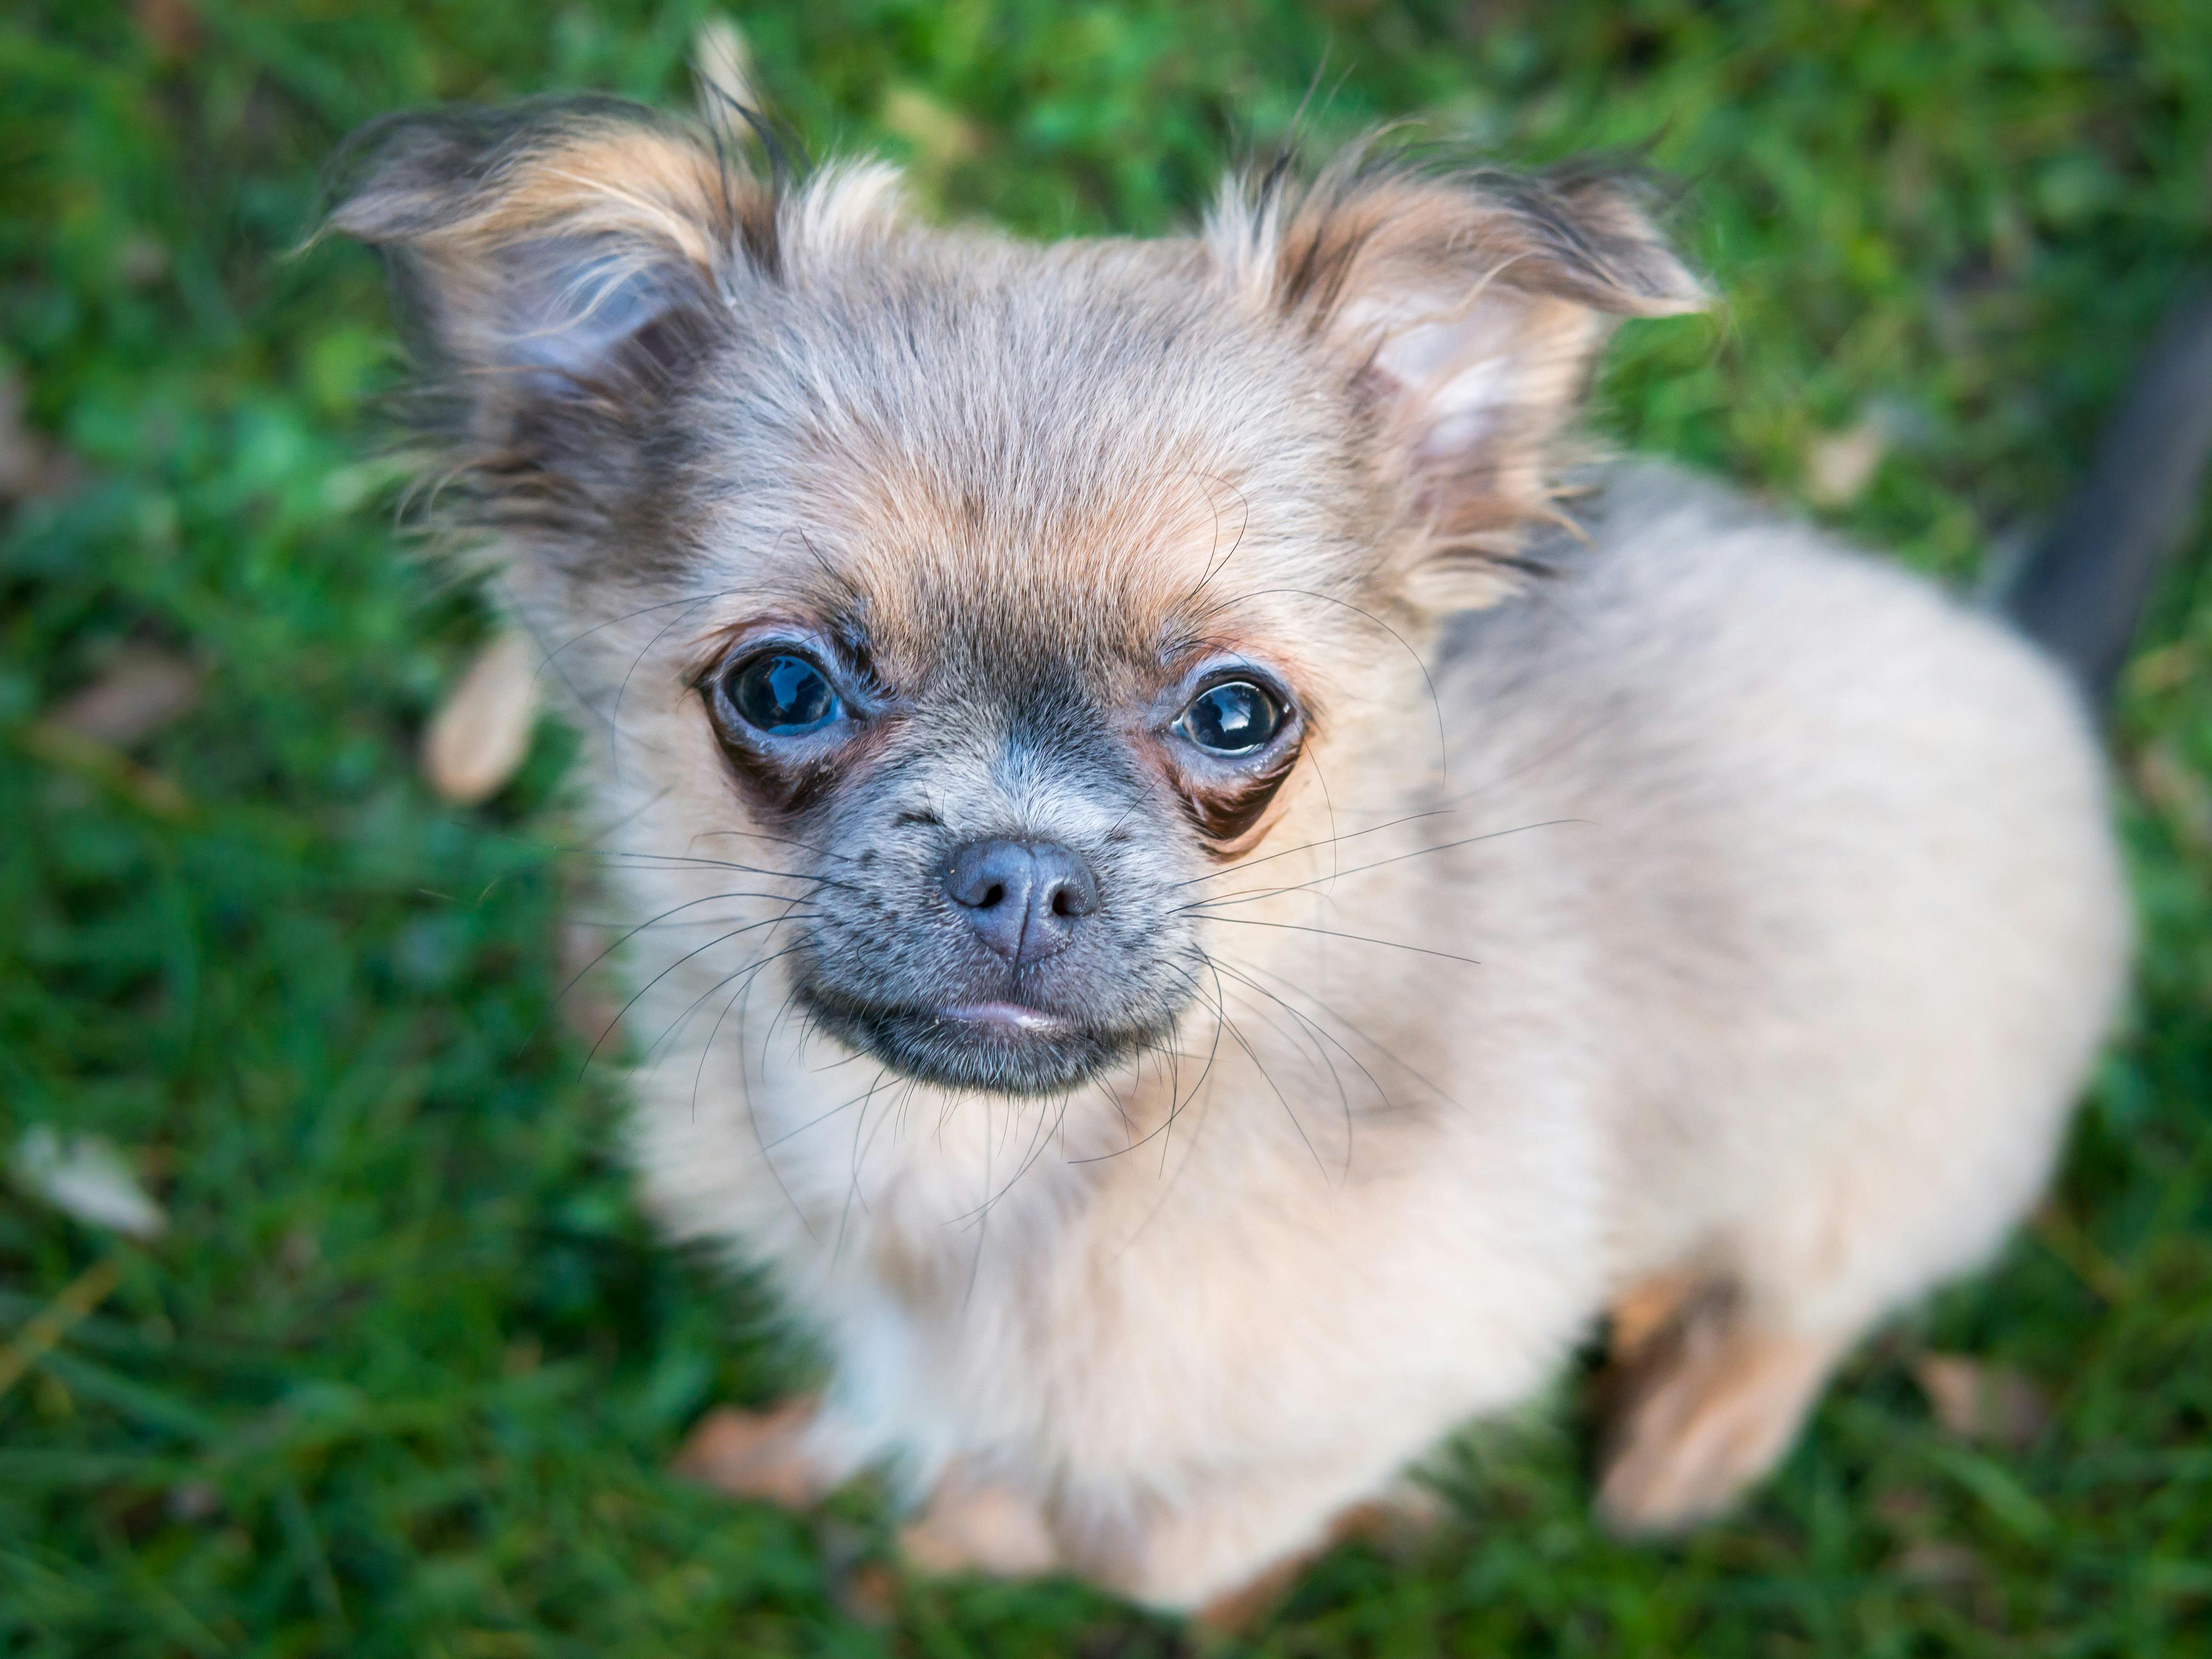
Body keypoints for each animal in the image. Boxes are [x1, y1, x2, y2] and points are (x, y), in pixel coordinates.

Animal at [323, 101, 2123, 1610]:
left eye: (1237, 713)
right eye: (780, 687)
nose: (1020, 869)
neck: (985, 1177)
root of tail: (2015, 660)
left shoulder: (1418, 1363)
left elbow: (1154, 1545)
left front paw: (983, 1527)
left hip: (1895, 1130)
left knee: (1821, 1282)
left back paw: (1705, 1415)